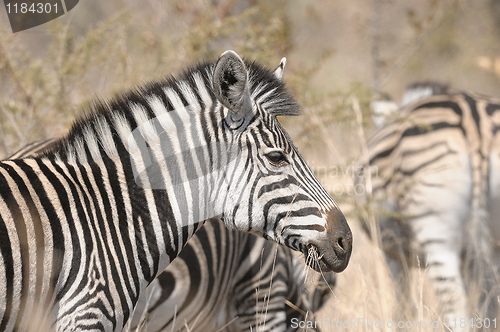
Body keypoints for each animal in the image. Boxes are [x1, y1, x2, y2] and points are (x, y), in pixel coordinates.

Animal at [360, 87, 500, 328]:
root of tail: (474, 121)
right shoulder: (468, 257)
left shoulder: (391, 254)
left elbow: (403, 306)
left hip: (435, 233)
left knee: (455, 307)